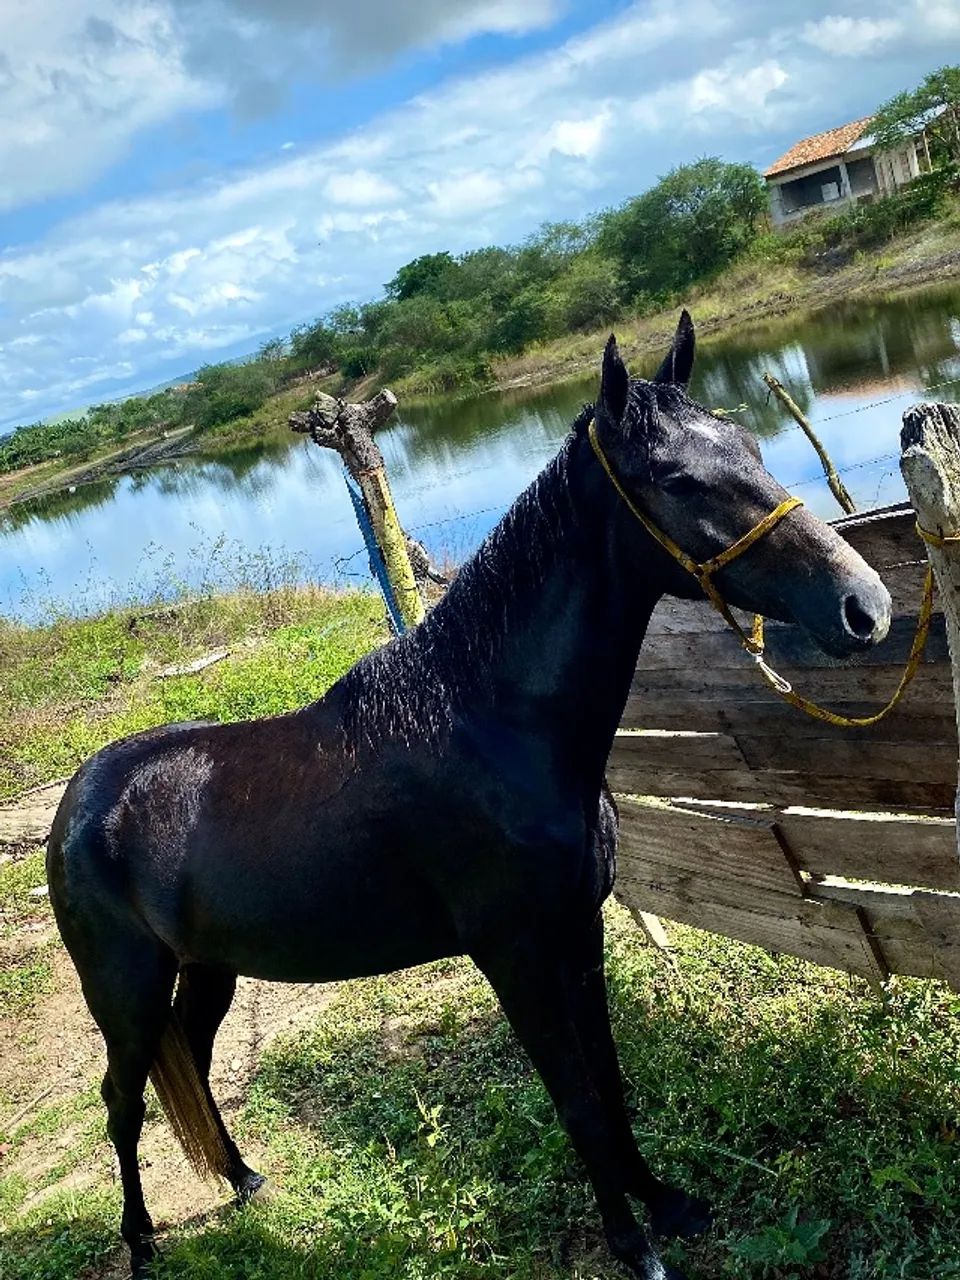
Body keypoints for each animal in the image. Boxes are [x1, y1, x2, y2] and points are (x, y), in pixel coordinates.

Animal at [47, 314, 892, 1280]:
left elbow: (608, 1078)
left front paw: (664, 1204)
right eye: (677, 478)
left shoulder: (577, 930)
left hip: (209, 968)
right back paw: (142, 1243)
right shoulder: (511, 953)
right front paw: (631, 1244)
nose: (865, 606)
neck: (492, 725)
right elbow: (574, 1097)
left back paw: (244, 1180)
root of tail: (79, 803)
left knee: (190, 1056)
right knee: (122, 1099)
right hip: (126, 992)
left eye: (749, 445)